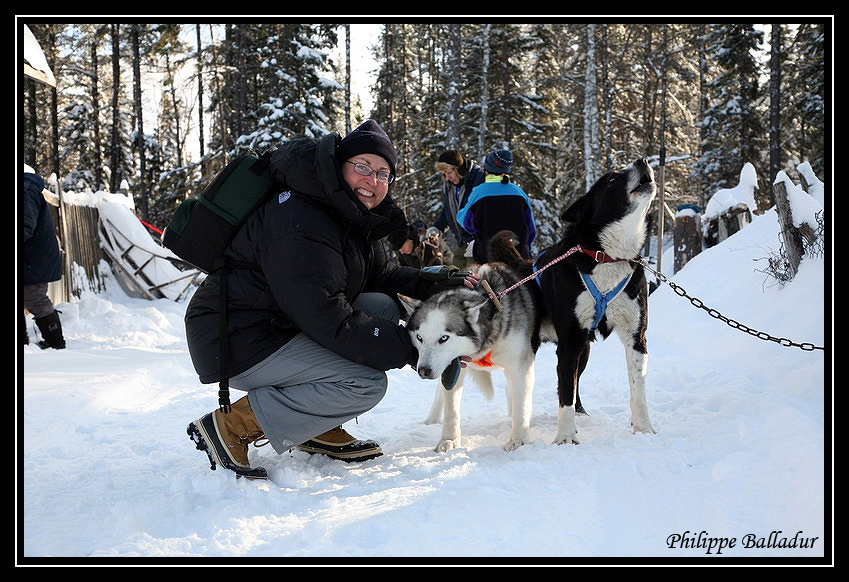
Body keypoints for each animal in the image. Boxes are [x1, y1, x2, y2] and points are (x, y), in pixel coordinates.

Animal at [400, 235, 540, 454]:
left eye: (444, 338)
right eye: (420, 338)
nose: (423, 370)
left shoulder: (521, 366)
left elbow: (521, 405)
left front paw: (518, 440)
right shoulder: (453, 367)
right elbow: (451, 408)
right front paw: (448, 440)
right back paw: (431, 419)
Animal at [536, 157, 656, 444]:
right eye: (611, 179)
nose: (643, 159)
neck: (608, 256)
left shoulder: (636, 337)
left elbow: (638, 391)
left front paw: (643, 430)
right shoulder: (570, 341)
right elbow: (564, 393)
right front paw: (565, 438)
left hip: (585, 351)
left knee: (576, 382)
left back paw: (581, 413)